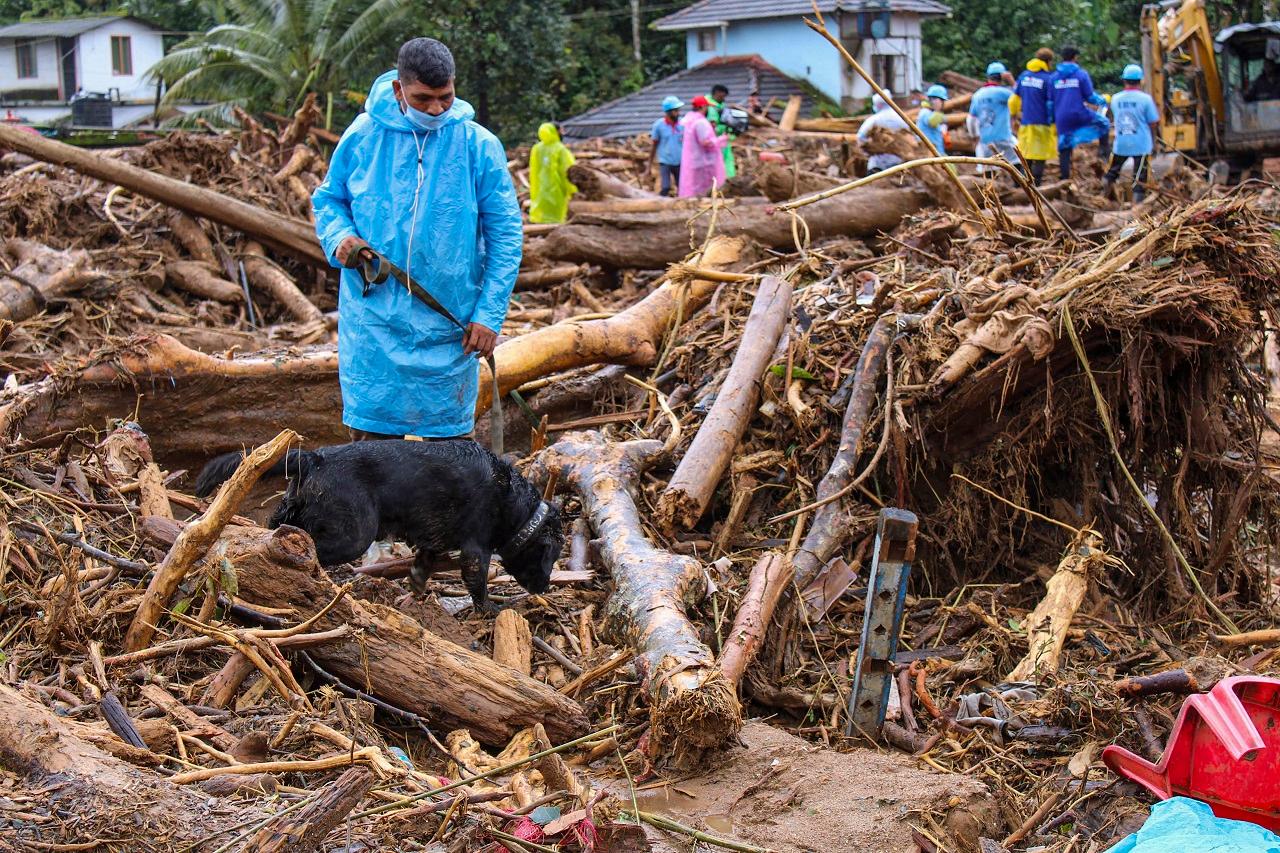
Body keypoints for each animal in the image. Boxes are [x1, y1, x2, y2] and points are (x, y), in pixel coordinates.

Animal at [194, 435, 560, 607]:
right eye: (550, 558)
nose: (545, 587)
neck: (513, 502)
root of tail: (315, 458)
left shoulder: (432, 542)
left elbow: (420, 569)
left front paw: (414, 594)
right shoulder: (476, 550)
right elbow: (478, 585)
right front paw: (490, 611)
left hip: (293, 508)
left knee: (275, 528)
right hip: (355, 534)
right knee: (308, 546)